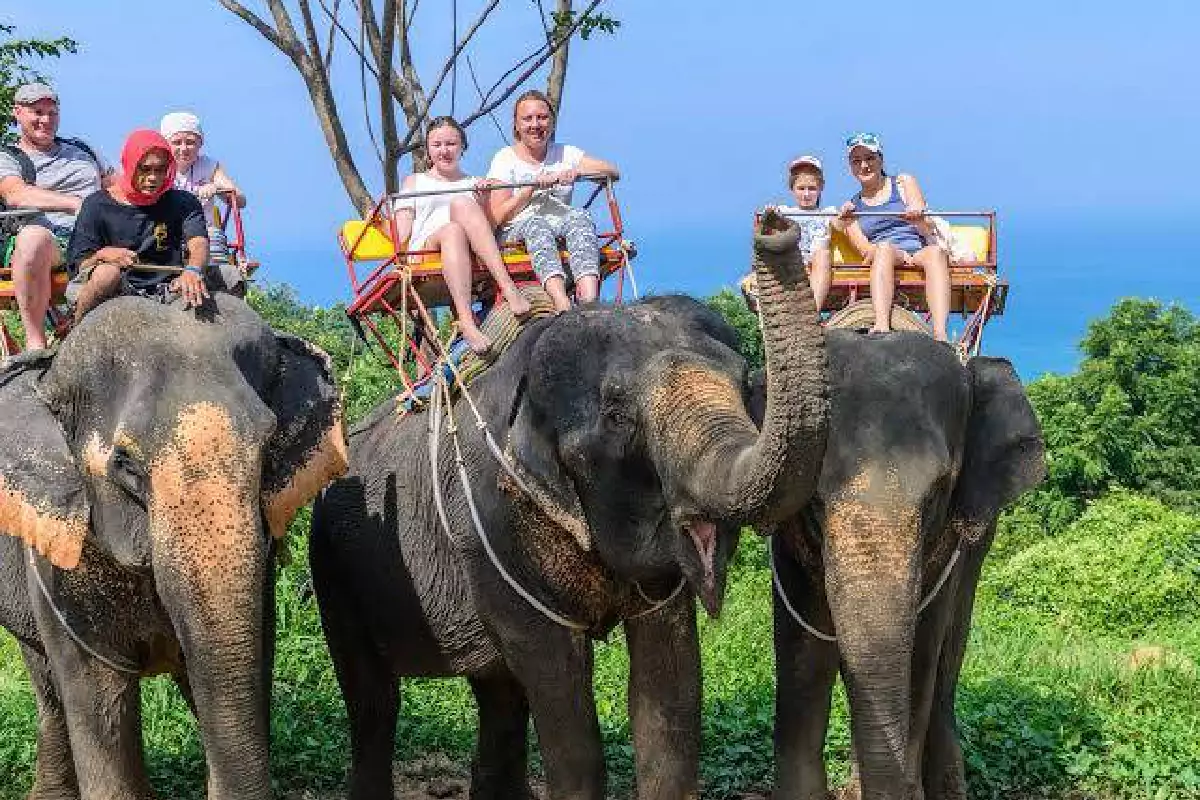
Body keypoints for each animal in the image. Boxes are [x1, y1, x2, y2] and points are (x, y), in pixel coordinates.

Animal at [308, 212, 829, 800]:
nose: (774, 224)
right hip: (333, 567)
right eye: (618, 416)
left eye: (746, 385)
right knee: (374, 699)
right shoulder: (490, 525)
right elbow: (556, 683)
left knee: (498, 695)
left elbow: (669, 697)